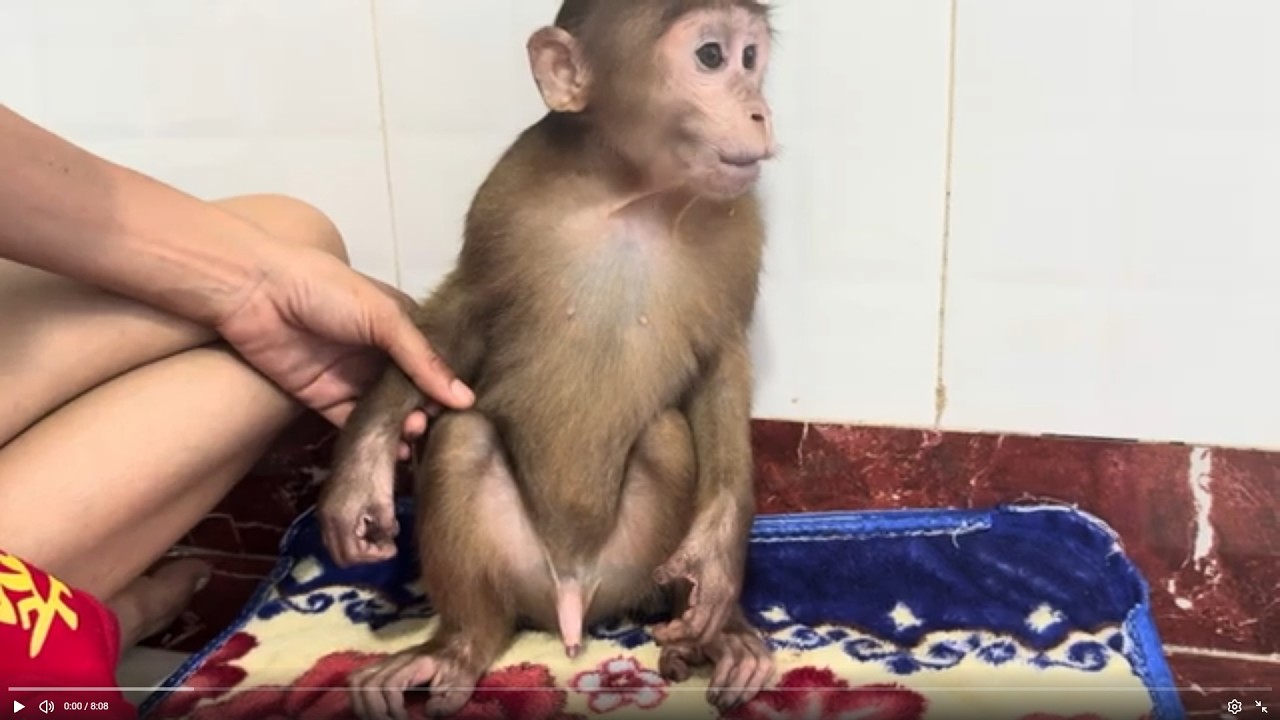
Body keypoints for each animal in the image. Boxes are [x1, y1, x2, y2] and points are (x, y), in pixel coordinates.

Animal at [317, 1, 777, 716]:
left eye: (751, 58)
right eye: (711, 56)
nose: (758, 108)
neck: (630, 195)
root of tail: (571, 596)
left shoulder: (738, 223)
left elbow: (720, 366)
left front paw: (716, 562)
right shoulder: (507, 195)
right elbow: (460, 317)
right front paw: (362, 469)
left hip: (632, 568)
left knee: (666, 434)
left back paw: (714, 638)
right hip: (520, 572)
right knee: (464, 437)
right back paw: (456, 648)